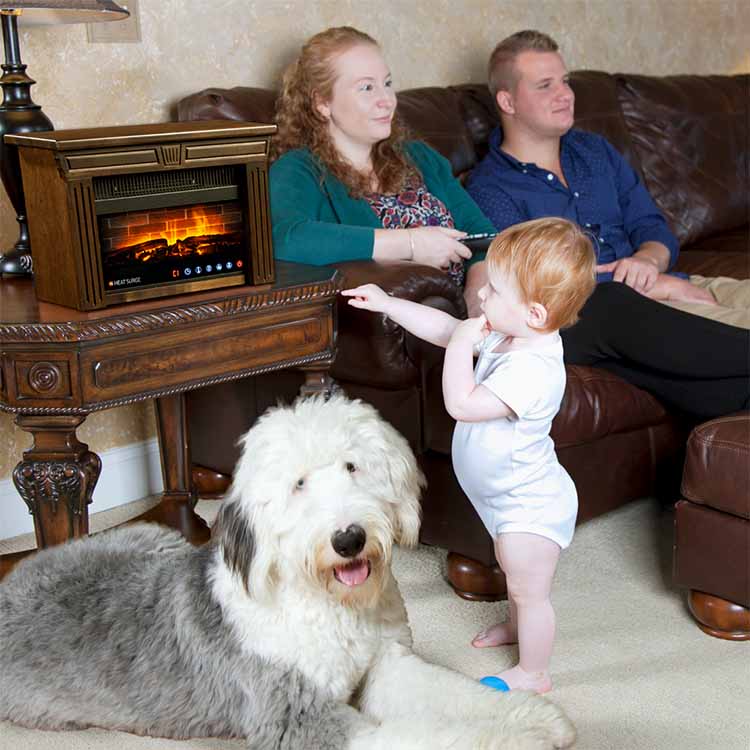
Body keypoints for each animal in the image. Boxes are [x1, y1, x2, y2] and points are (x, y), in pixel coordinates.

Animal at [0, 396, 576, 748]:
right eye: (298, 484)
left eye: (352, 465)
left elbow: (453, 691)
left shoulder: (384, 664)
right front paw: (524, 741)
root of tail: (16, 577)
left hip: (154, 537)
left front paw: (540, 719)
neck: (330, 608)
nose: (348, 539)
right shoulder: (298, 715)